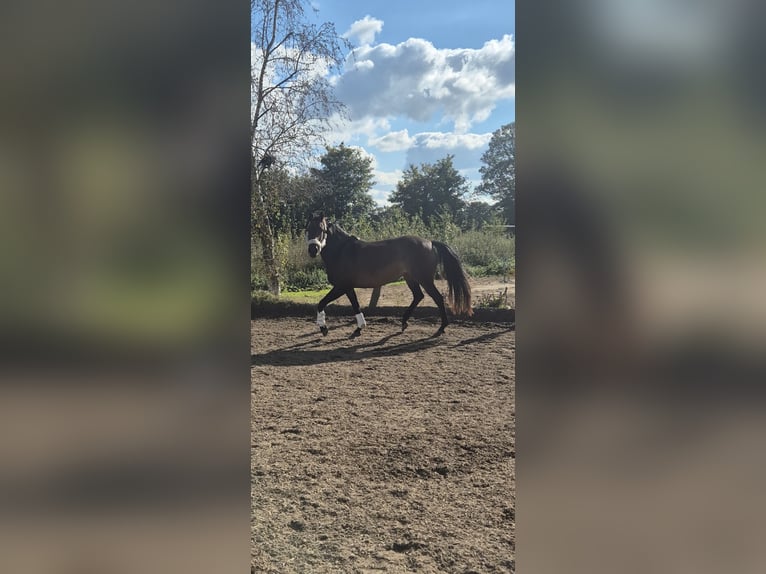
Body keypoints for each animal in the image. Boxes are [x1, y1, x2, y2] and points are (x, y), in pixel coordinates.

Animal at [305, 212, 472, 337]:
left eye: (322, 229)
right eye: (307, 229)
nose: (313, 250)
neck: (341, 251)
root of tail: (430, 243)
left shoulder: (341, 286)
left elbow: (321, 303)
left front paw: (324, 328)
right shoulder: (348, 287)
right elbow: (355, 305)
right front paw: (359, 328)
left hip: (424, 279)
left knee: (437, 298)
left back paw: (442, 327)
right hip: (410, 278)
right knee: (418, 296)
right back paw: (404, 323)